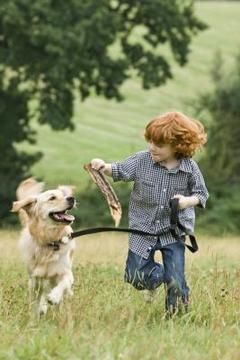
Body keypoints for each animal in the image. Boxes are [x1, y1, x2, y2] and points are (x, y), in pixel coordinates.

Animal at [11, 177, 75, 316]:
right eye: (52, 198)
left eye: (63, 195)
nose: (71, 198)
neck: (50, 241)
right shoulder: (35, 279)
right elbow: (38, 298)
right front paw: (40, 309)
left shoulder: (65, 271)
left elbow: (64, 283)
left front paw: (54, 297)